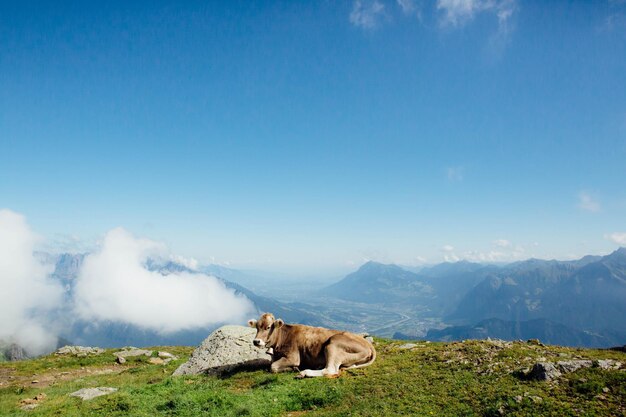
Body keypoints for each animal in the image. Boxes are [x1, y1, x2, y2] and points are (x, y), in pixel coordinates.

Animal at [247, 312, 376, 376]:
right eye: (257, 327)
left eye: (268, 327)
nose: (256, 341)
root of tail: (368, 344)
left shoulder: (293, 357)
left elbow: (273, 367)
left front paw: (292, 368)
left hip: (333, 344)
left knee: (330, 370)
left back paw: (305, 372)